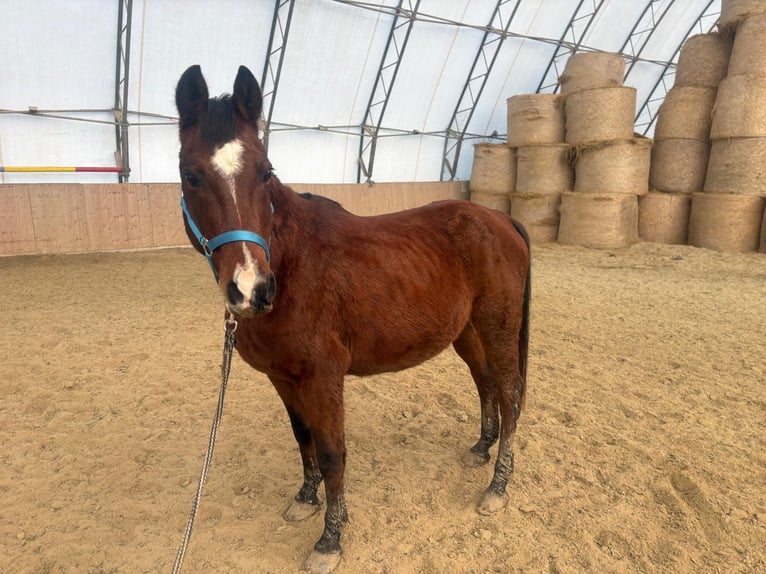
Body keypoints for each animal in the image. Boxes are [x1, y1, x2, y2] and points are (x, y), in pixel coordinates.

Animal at [175, 64, 531, 574]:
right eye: (191, 175)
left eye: (265, 172)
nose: (251, 289)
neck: (292, 263)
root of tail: (501, 220)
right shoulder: (283, 376)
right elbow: (302, 436)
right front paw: (306, 499)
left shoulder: (323, 376)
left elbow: (331, 453)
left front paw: (330, 539)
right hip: (466, 332)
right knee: (485, 383)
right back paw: (481, 449)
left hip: (499, 327)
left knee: (510, 394)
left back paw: (498, 487)